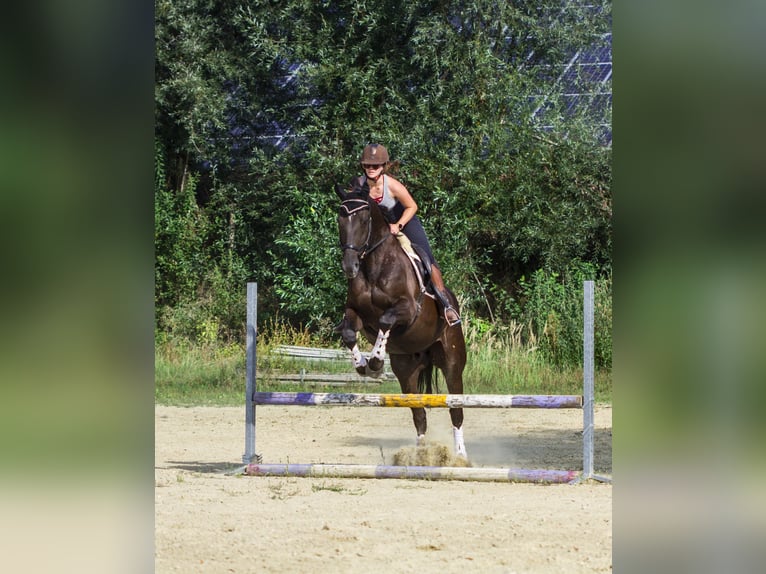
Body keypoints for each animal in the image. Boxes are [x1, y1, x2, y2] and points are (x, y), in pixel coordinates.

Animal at [334, 182, 468, 456]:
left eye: (364, 219)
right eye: (340, 218)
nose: (349, 267)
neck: (373, 266)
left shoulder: (407, 310)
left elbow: (386, 320)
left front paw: (375, 362)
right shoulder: (356, 314)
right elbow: (349, 332)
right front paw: (363, 365)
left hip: (452, 363)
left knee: (456, 410)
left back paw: (460, 455)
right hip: (407, 372)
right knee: (419, 415)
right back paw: (421, 455)